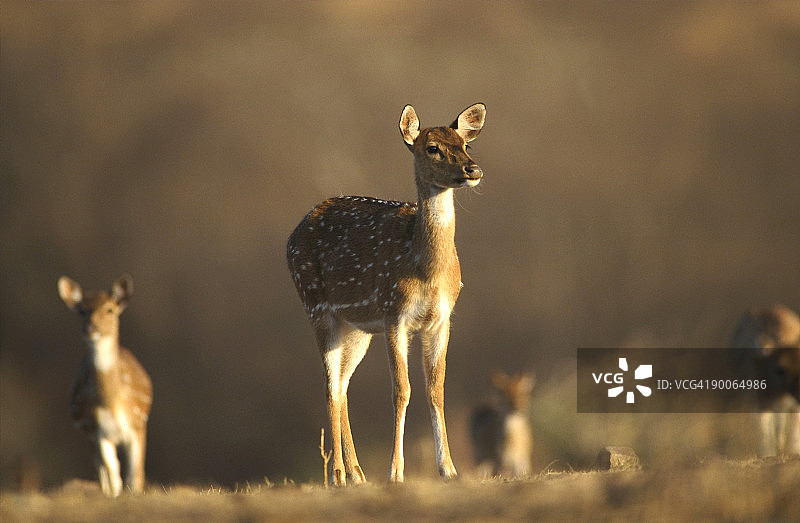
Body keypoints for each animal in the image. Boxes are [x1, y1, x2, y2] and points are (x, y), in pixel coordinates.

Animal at [58, 274, 153, 497]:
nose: (91, 328)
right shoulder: (98, 429)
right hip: (88, 434)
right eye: (82, 310)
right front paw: (115, 496)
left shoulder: (137, 423)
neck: (113, 404)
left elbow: (135, 474)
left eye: (109, 309)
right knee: (104, 472)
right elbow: (112, 473)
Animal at [287, 103, 486, 486]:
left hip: (357, 328)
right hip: (316, 305)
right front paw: (396, 472)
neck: (425, 270)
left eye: (466, 144)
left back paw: (357, 473)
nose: (473, 169)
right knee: (330, 385)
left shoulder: (441, 319)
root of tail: (292, 235)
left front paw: (449, 469)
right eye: (432, 148)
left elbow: (436, 389)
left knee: (343, 385)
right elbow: (401, 390)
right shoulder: (395, 314)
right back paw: (338, 474)